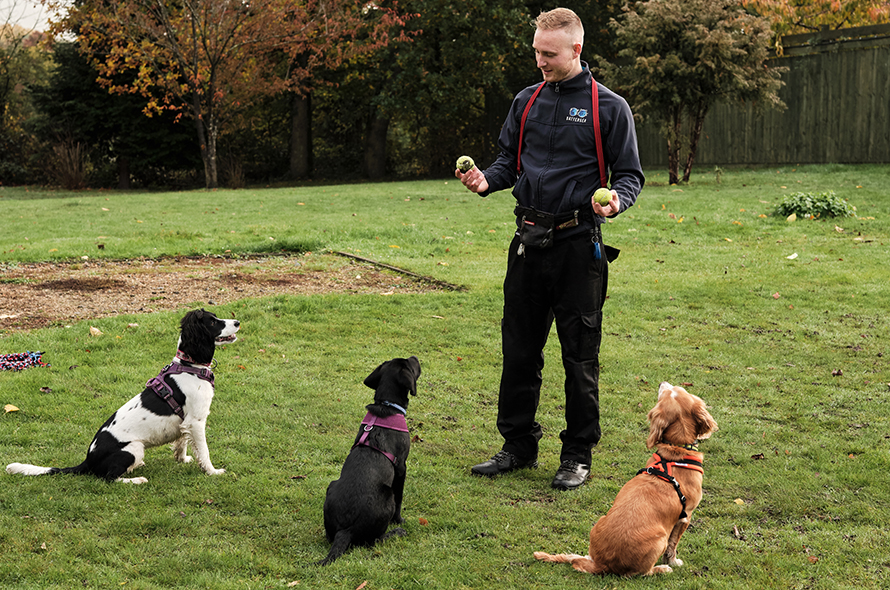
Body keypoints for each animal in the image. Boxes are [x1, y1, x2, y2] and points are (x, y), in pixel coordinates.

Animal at [5, 310, 239, 486]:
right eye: (212, 322)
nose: (237, 322)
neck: (189, 366)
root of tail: (88, 461)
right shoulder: (196, 422)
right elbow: (204, 451)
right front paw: (212, 471)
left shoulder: (185, 423)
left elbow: (182, 443)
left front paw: (182, 460)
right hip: (132, 448)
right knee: (108, 478)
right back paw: (137, 479)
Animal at [320, 356, 424, 568]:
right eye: (410, 364)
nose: (415, 357)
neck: (388, 405)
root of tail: (346, 531)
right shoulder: (401, 467)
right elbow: (400, 498)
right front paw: (399, 521)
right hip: (387, 495)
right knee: (373, 540)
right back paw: (396, 532)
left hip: (331, 486)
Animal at [536, 384, 716, 580]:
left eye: (677, 389)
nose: (662, 383)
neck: (676, 449)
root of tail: (601, 564)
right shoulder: (685, 516)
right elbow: (673, 544)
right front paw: (673, 562)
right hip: (659, 538)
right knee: (643, 572)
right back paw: (661, 569)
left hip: (599, 522)